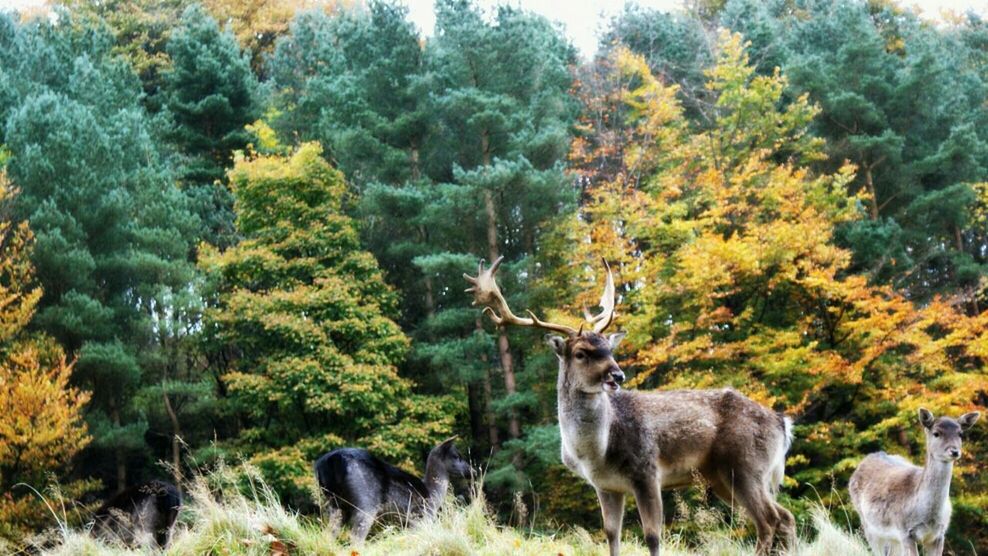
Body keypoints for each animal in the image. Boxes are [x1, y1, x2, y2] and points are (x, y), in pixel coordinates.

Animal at [466, 258, 800, 556]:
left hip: (745, 465)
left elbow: (652, 536)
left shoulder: (647, 471)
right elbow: (611, 535)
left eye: (609, 349)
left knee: (769, 521)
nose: (617, 375)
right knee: (785, 517)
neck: (597, 453)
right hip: (723, 477)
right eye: (581, 353)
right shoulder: (605, 486)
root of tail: (782, 423)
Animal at [848, 408, 980, 556]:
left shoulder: (940, 534)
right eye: (936, 433)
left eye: (960, 434)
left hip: (892, 538)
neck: (928, 517)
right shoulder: (905, 530)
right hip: (867, 523)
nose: (954, 451)